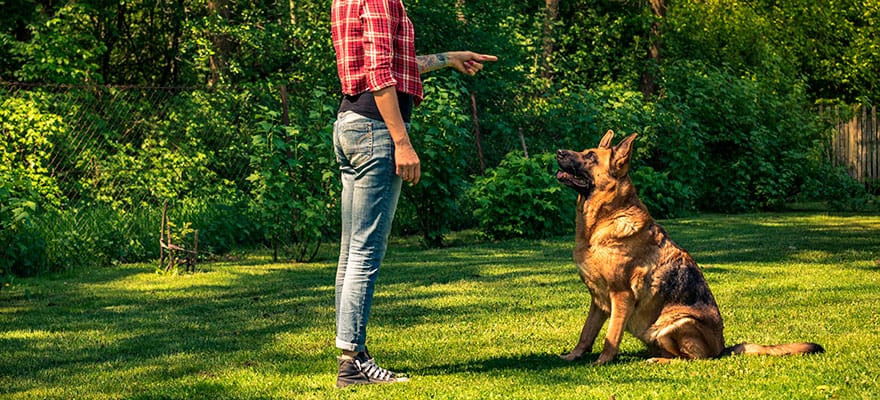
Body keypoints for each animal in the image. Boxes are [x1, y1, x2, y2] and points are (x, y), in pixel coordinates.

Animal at [552, 131, 820, 366]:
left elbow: (611, 335)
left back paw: (658, 360)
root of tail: (722, 349)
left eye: (590, 156)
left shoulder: (621, 296)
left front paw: (602, 362)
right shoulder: (598, 301)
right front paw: (573, 356)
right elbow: (586, 333)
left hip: (674, 324)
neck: (601, 221)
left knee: (690, 359)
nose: (558, 151)